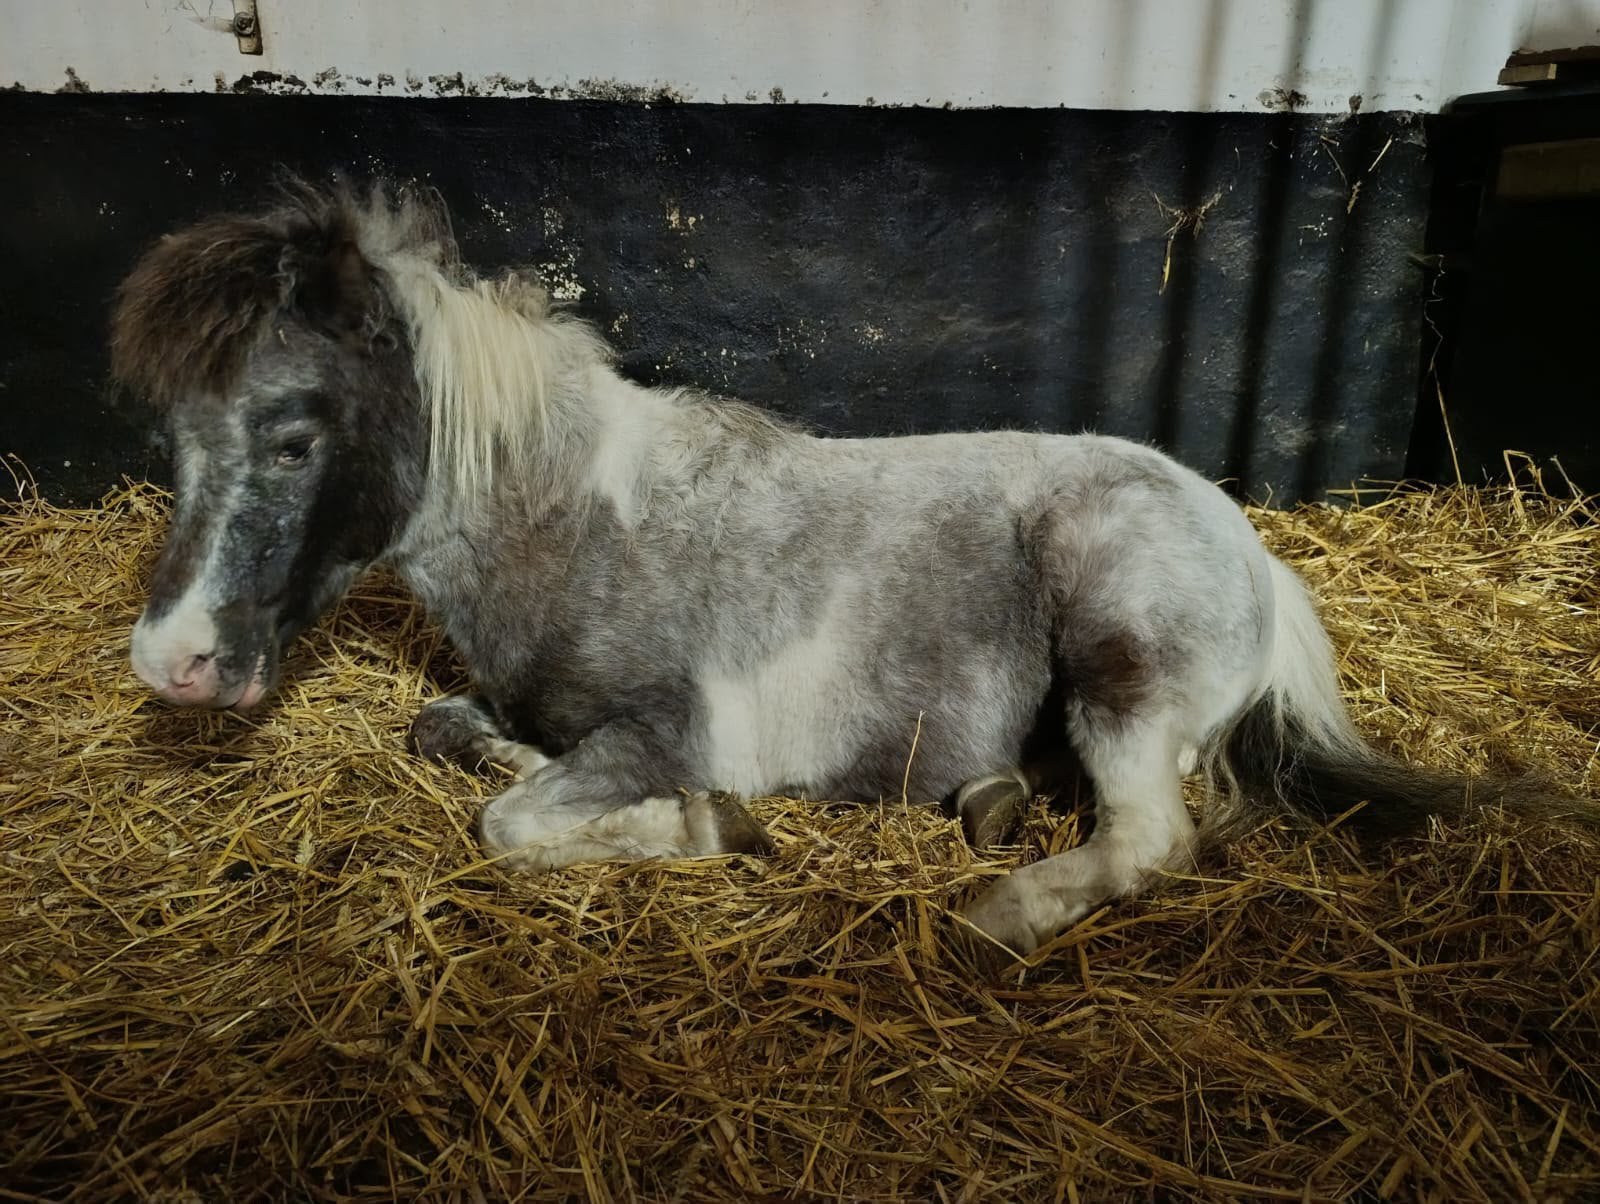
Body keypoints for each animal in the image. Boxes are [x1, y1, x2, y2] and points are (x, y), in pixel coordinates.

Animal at [109, 183, 1556, 961]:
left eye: (292, 436)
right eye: (170, 434)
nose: (173, 664)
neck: (573, 524)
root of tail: (1246, 542)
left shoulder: (663, 730)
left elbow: (513, 825)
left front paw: (707, 829)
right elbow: (454, 739)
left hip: (1124, 666)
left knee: (1153, 834)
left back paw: (998, 909)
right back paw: (992, 808)